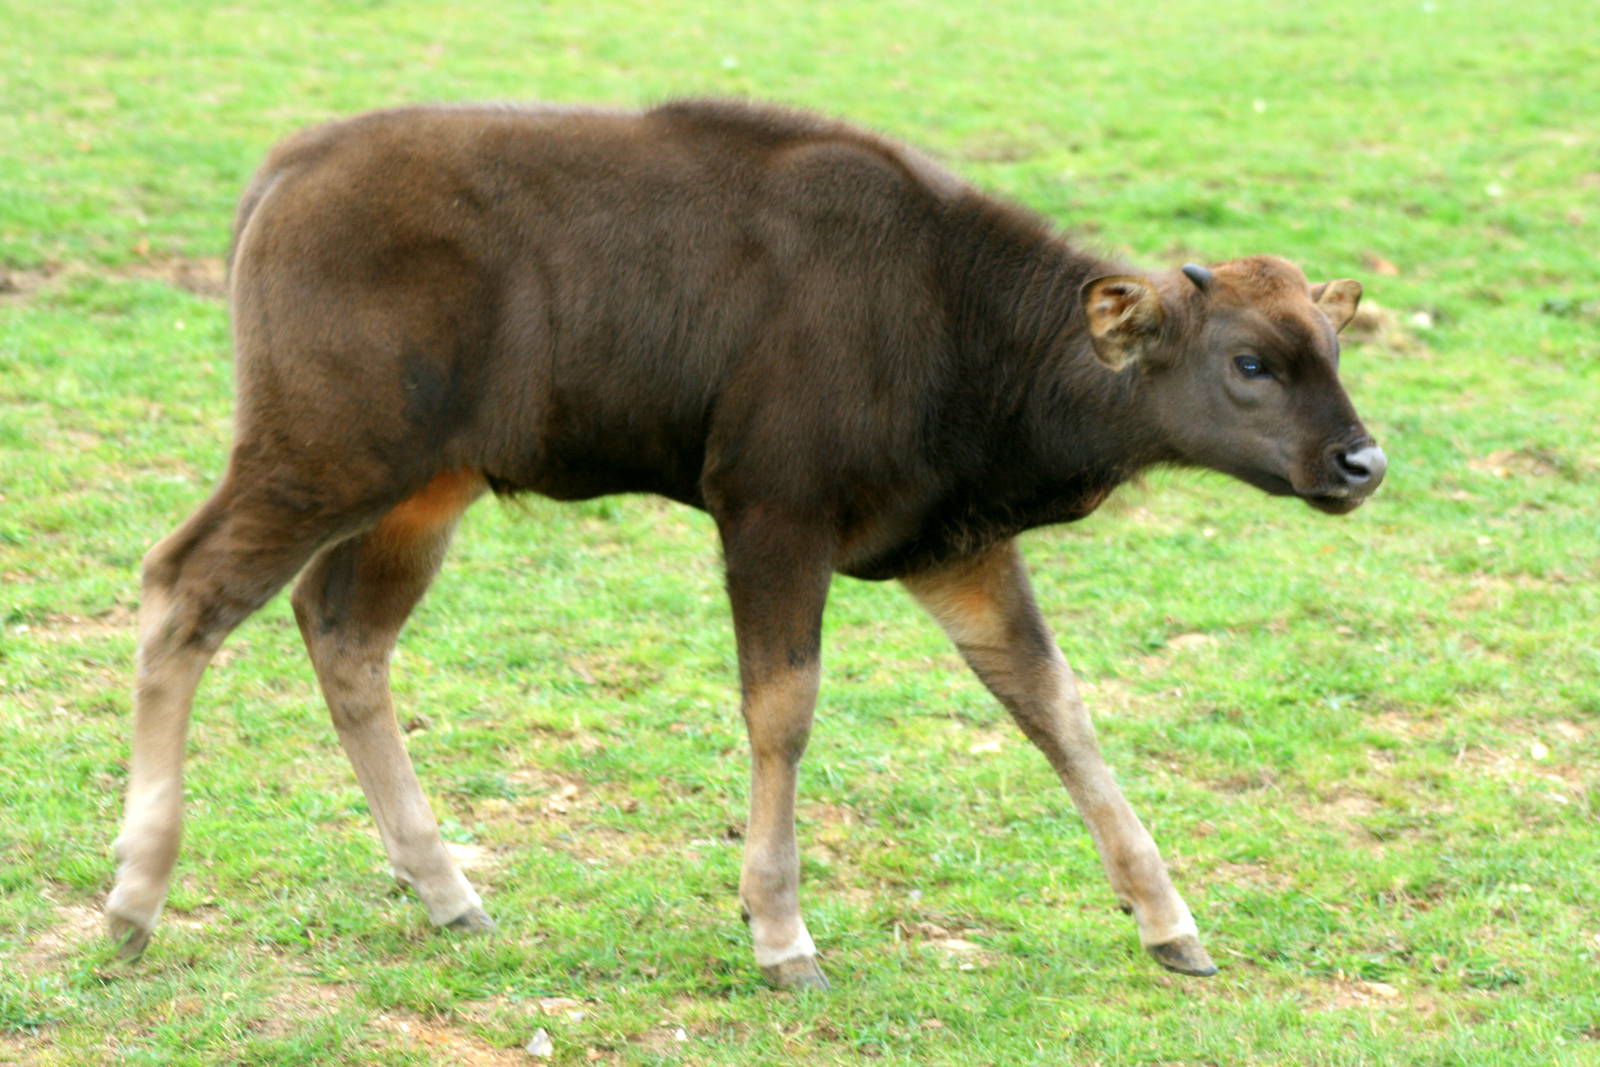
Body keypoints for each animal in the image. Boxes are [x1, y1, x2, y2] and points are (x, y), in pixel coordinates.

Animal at [107, 98, 1386, 988]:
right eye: (1249, 360)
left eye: (1331, 343)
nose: (1360, 461)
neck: (955, 317)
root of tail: (285, 173)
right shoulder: (772, 517)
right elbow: (784, 708)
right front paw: (781, 932)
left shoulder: (950, 546)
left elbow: (1052, 703)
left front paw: (1170, 921)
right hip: (320, 455)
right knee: (183, 589)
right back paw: (133, 899)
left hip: (424, 489)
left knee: (341, 630)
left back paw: (447, 889)